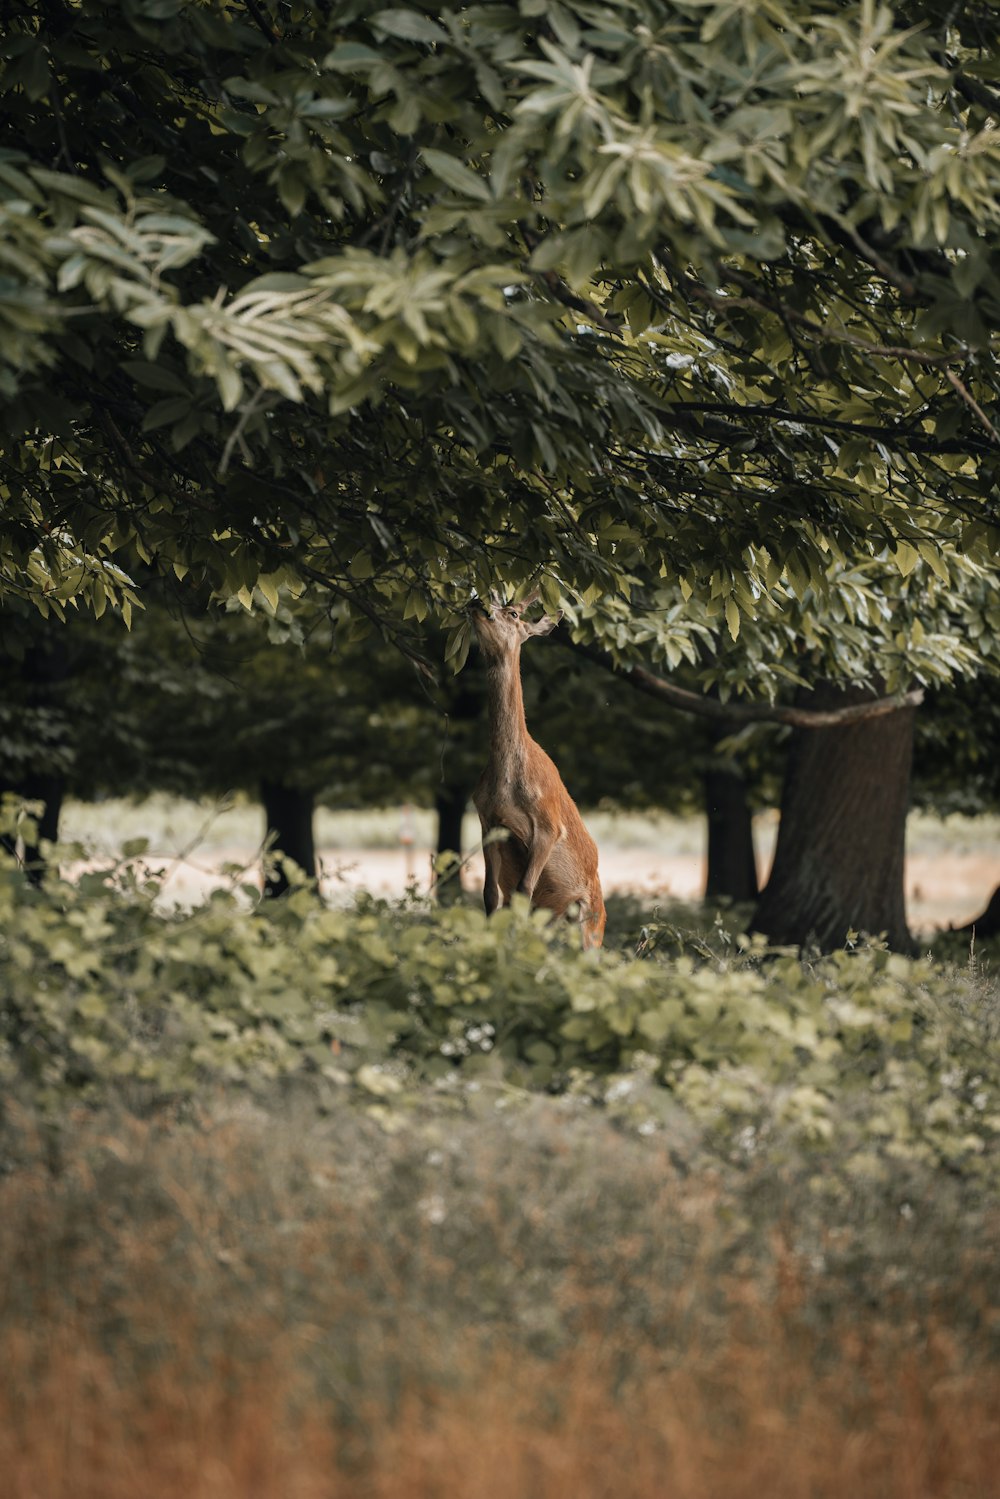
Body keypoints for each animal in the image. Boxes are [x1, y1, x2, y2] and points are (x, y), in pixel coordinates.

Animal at [470, 587, 605, 947]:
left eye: (514, 613)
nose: (477, 602)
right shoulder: (487, 820)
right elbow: (491, 895)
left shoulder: (547, 825)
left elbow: (523, 891)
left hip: (592, 922)